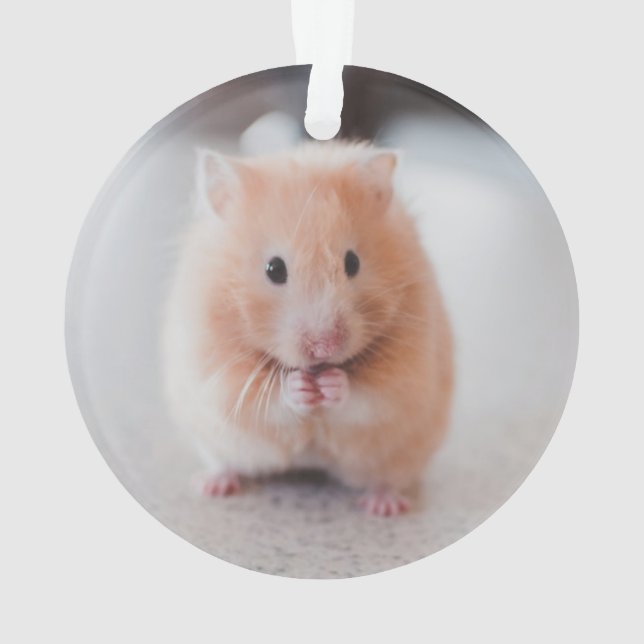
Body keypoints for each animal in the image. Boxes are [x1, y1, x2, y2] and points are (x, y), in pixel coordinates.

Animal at [162, 141, 453, 516]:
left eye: (352, 262)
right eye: (274, 269)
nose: (324, 347)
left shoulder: (407, 374)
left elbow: (369, 397)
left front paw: (331, 384)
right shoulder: (217, 372)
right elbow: (265, 399)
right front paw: (300, 387)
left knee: (387, 478)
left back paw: (383, 506)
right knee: (225, 463)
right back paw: (212, 486)